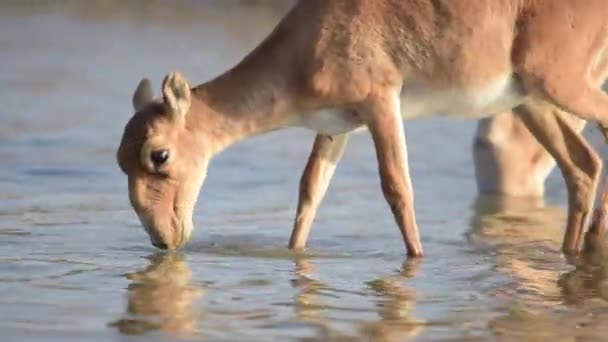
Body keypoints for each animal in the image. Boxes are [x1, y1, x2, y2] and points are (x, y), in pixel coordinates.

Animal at [116, 0, 608, 256]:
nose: (161, 239)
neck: (303, 46)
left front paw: (416, 261)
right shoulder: (338, 125)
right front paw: (294, 255)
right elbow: (310, 190)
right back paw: (574, 252)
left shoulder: (381, 104)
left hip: (561, 86)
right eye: (120, 160)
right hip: (530, 102)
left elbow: (397, 187)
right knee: (583, 166)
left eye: (159, 154)